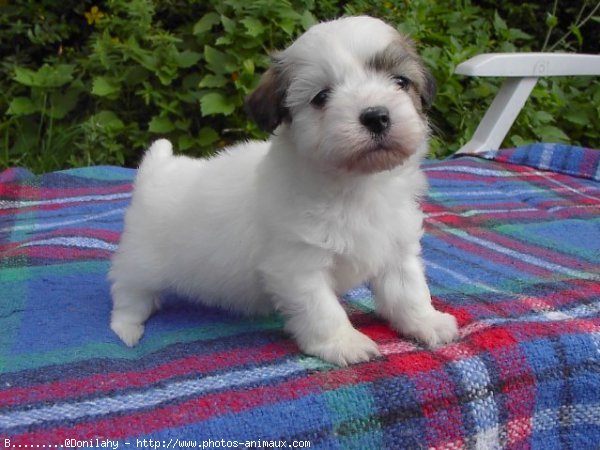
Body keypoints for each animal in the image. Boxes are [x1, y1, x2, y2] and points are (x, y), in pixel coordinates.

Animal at [108, 14, 458, 366]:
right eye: (321, 97)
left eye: (400, 81)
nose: (376, 116)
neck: (356, 185)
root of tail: (159, 168)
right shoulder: (298, 265)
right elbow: (322, 309)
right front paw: (342, 342)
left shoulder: (396, 246)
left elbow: (408, 289)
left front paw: (425, 321)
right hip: (141, 261)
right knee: (127, 291)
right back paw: (127, 327)